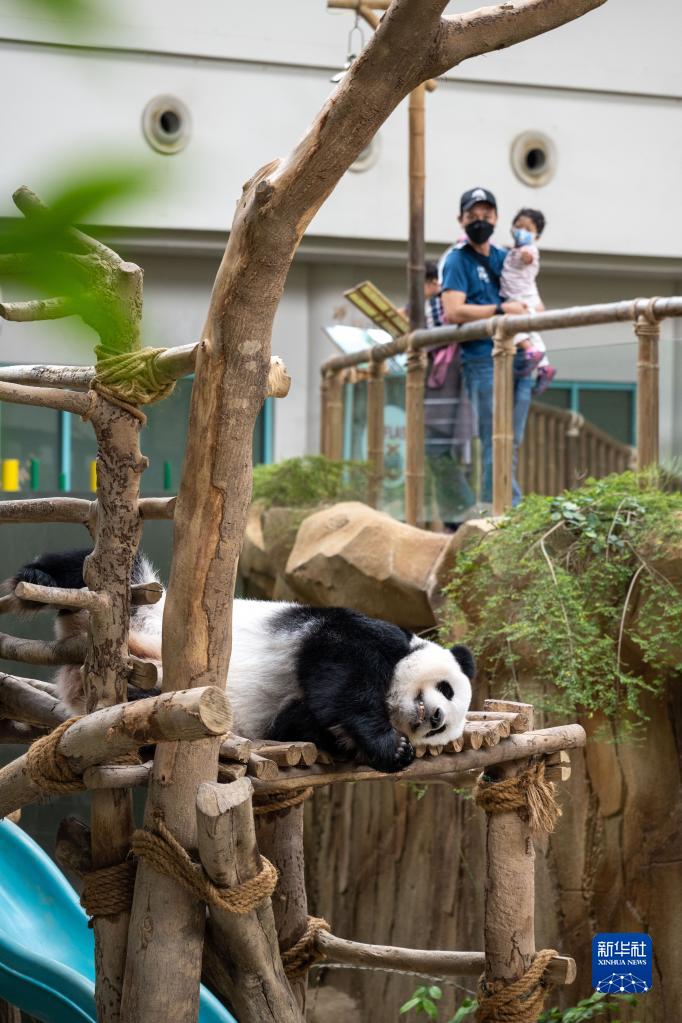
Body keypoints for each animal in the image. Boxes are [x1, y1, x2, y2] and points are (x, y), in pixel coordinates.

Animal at [3, 548, 474, 769]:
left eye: (442, 729)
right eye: (446, 690)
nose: (434, 718)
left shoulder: (292, 719)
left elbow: (300, 721)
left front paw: (391, 748)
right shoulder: (361, 633)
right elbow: (341, 665)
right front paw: (388, 746)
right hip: (142, 604)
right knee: (86, 569)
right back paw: (35, 580)